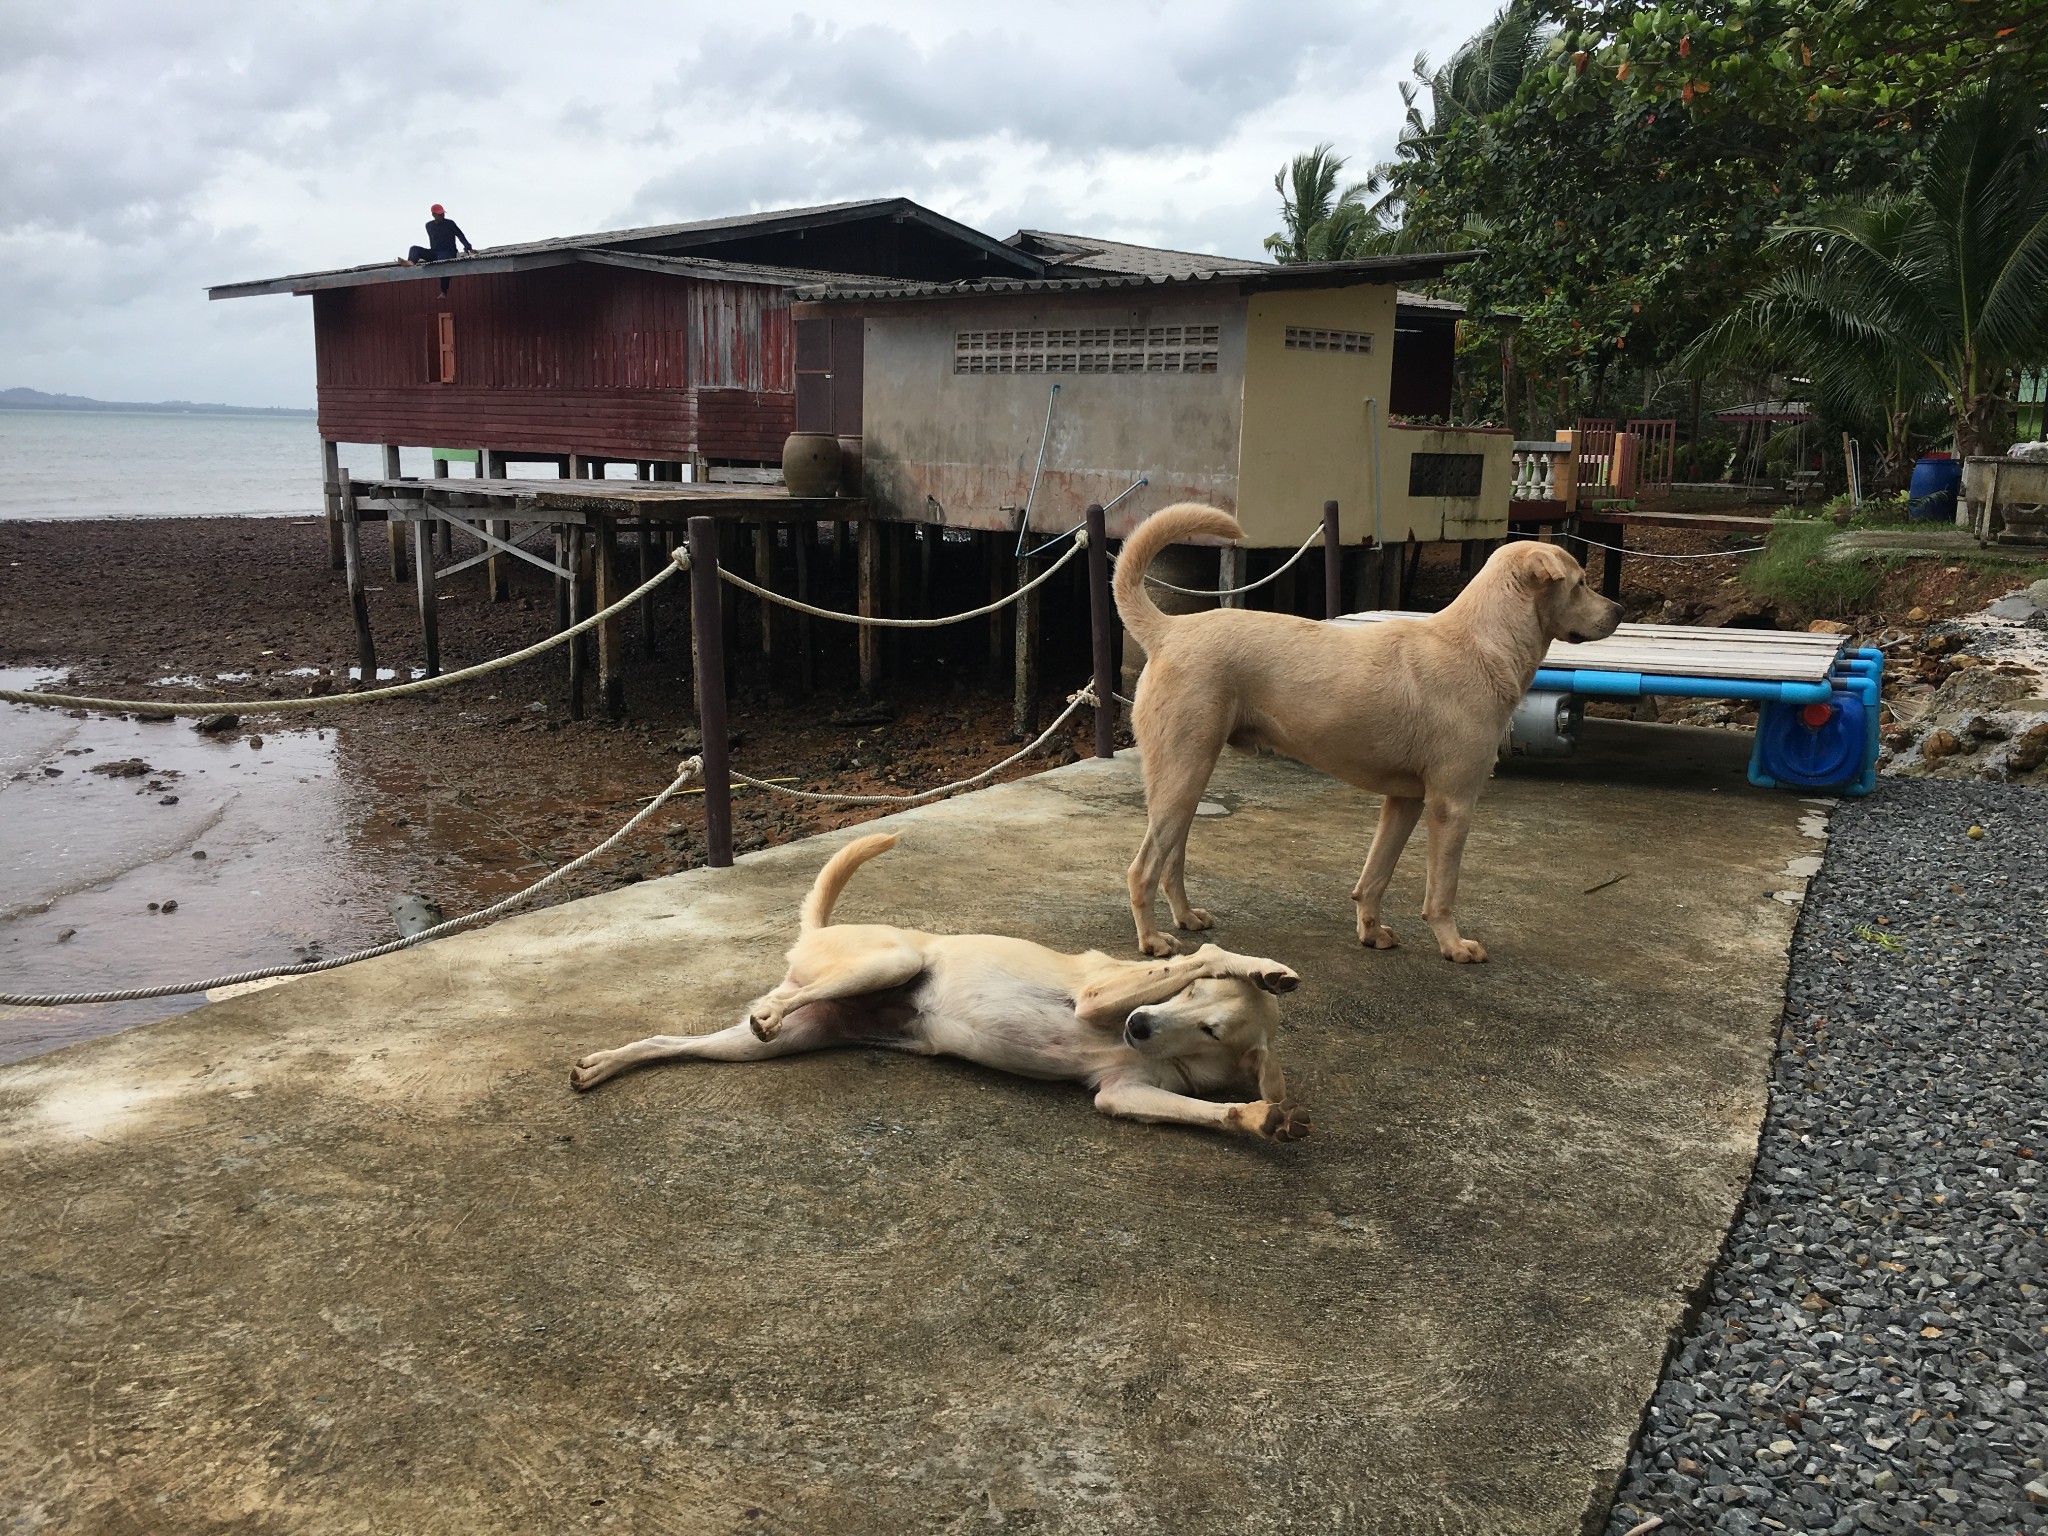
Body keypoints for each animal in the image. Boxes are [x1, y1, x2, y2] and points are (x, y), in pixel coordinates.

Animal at [577, 831, 1310, 1146]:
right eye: (1188, 1002)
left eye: (1212, 1031)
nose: (1138, 1028)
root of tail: (818, 930)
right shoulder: (1101, 996)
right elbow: (1208, 954)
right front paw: (1260, 967)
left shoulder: (1121, 1094)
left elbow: (1208, 1110)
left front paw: (1263, 1116)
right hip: (890, 961)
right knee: (776, 1002)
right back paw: (768, 1009)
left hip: (775, 1043)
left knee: (668, 1042)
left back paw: (603, 1064)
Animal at [1114, 505, 1622, 962]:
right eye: (1580, 582)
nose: (1618, 609)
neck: (1480, 643)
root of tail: (1168, 630)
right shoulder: (1452, 805)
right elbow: (1442, 888)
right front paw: (1454, 945)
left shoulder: (1405, 801)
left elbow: (1375, 875)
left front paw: (1371, 932)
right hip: (1184, 774)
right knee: (1142, 869)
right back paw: (1153, 940)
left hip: (1185, 780)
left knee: (1170, 861)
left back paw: (1186, 917)